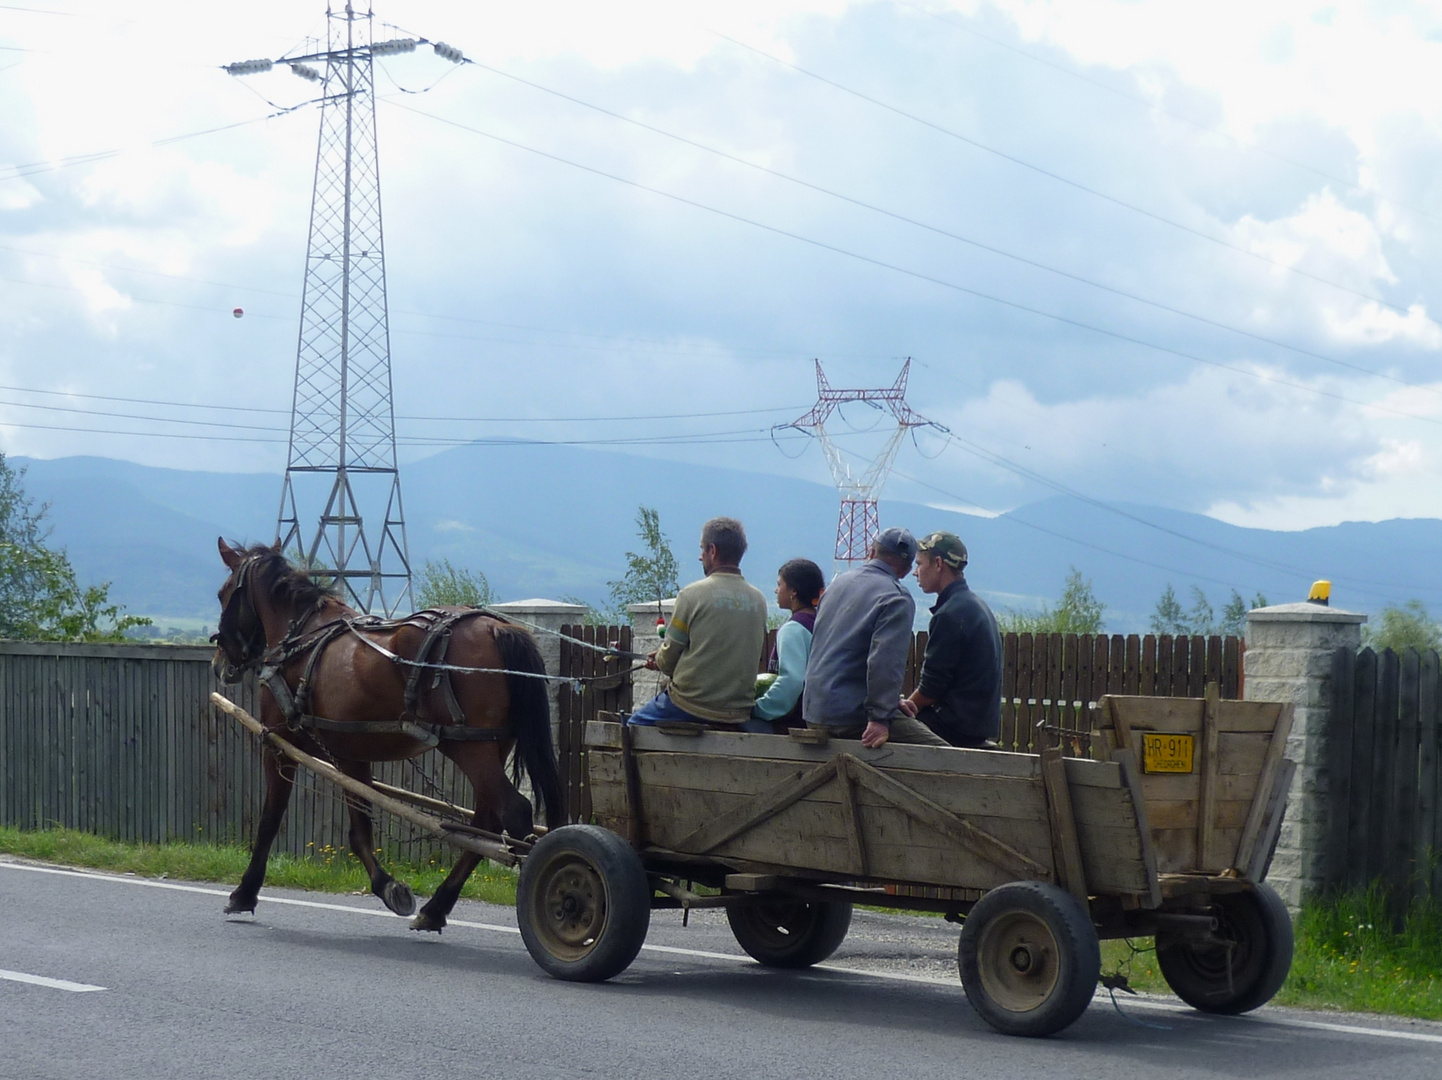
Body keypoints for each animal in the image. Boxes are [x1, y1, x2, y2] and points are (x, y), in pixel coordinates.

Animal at [210, 536, 559, 928]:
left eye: (223, 593)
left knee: (512, 812)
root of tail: (497, 628)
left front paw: (244, 892)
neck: (300, 638)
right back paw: (436, 908)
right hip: (492, 745)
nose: (220, 663)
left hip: (468, 748)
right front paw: (390, 887)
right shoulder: (351, 755)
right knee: (486, 820)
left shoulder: (279, 744)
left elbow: (271, 820)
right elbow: (360, 829)